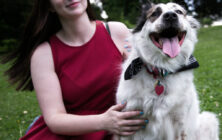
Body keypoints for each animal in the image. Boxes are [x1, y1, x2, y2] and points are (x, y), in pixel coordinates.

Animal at [116, 1, 219, 140]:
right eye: (155, 13)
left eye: (179, 12)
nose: (170, 16)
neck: (162, 70)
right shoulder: (128, 121)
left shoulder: (180, 123)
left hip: (208, 120)